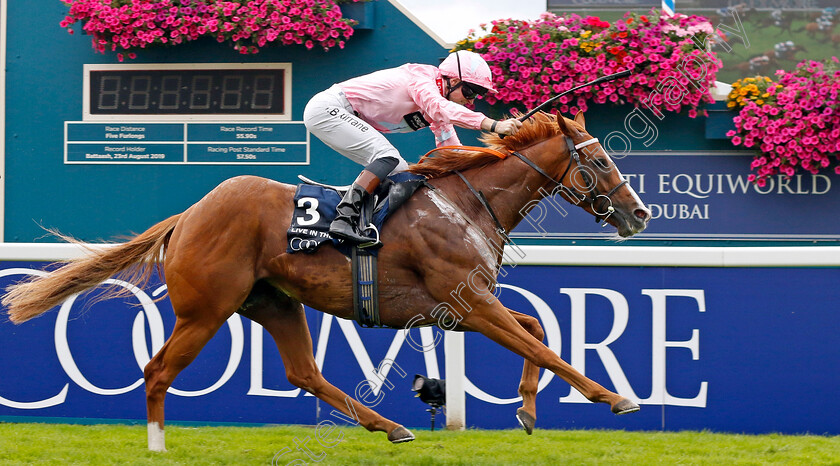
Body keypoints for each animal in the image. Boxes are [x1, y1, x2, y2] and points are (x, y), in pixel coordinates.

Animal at [1, 110, 648, 452]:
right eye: (599, 162)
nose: (639, 213)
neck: (468, 203)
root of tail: (189, 215)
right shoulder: (464, 304)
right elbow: (545, 344)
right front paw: (614, 396)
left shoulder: (462, 304)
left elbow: (536, 328)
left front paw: (529, 410)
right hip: (206, 309)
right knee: (157, 370)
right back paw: (158, 449)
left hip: (274, 303)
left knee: (304, 372)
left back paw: (391, 426)